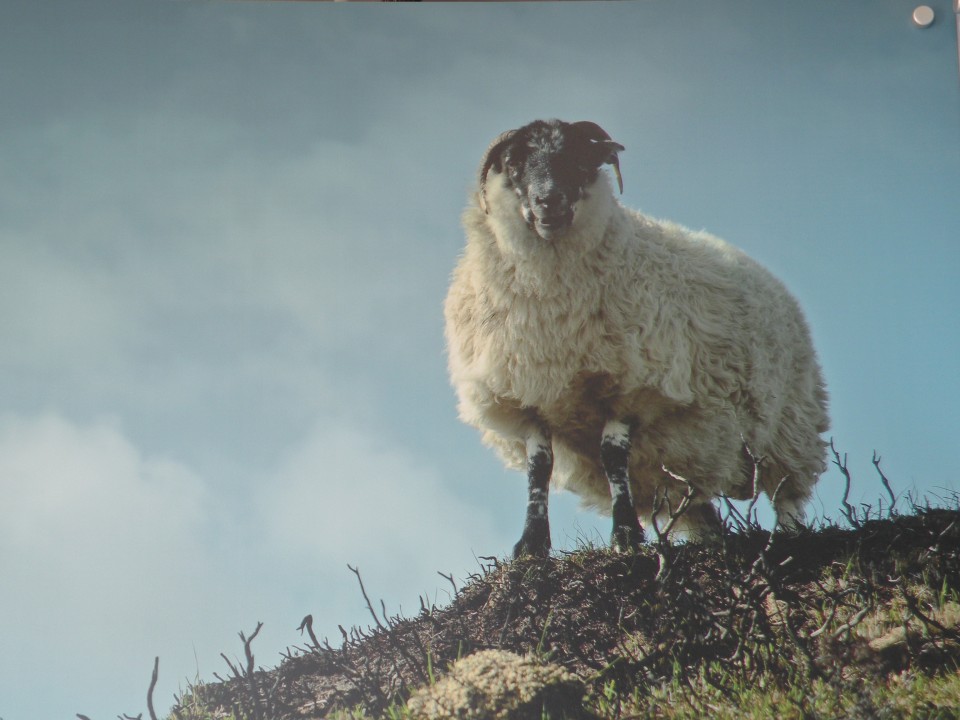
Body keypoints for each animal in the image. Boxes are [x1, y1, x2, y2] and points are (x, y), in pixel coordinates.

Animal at [446, 116, 828, 556]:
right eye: (514, 162)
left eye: (579, 157)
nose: (549, 201)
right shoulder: (529, 396)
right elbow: (538, 468)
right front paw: (531, 546)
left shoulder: (630, 385)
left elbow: (613, 458)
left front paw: (625, 535)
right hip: (686, 459)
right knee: (700, 512)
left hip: (790, 426)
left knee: (787, 494)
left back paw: (791, 536)